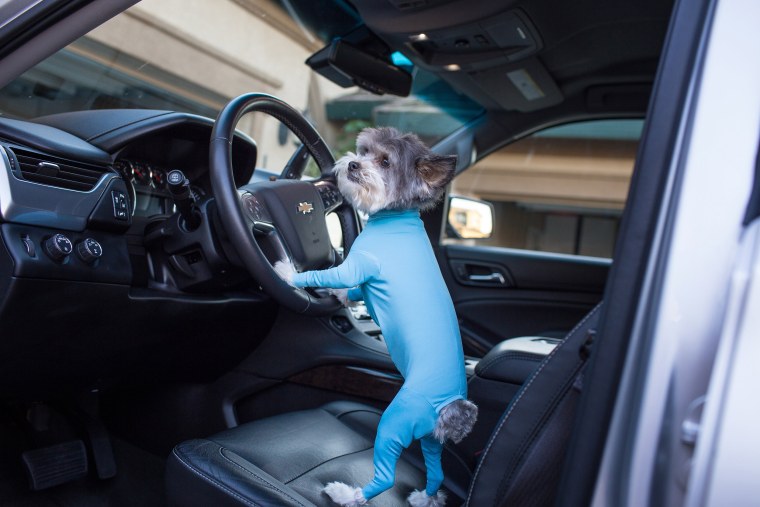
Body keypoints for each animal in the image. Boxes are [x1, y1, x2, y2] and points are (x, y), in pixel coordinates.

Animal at [274, 128, 476, 507]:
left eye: (384, 161)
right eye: (363, 151)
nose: (353, 164)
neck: (396, 219)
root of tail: (450, 409)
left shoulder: (357, 264)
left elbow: (328, 275)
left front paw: (289, 274)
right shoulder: (360, 275)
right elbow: (352, 291)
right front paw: (340, 299)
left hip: (395, 424)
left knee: (383, 479)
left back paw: (344, 493)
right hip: (429, 440)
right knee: (436, 474)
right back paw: (423, 498)